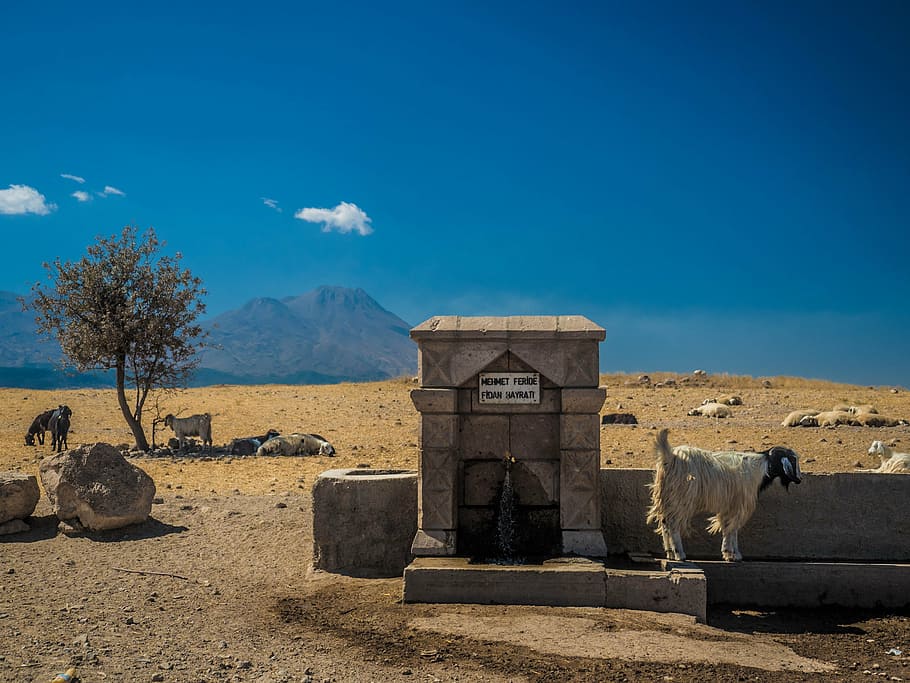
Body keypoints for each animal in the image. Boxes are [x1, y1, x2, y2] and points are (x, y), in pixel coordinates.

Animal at [646, 428, 801, 562]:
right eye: (793, 460)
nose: (799, 479)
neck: (760, 469)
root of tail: (669, 456)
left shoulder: (729, 506)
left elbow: (728, 527)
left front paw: (729, 553)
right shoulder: (739, 505)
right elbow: (733, 528)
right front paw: (733, 554)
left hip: (666, 496)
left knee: (664, 523)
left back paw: (670, 553)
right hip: (680, 497)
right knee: (673, 524)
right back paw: (679, 554)